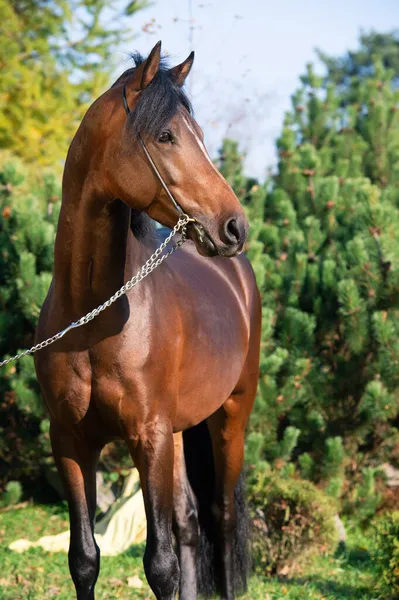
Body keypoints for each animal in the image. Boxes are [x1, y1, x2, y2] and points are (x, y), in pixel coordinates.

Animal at [35, 42, 262, 600]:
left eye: (197, 133)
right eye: (166, 136)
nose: (235, 226)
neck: (93, 321)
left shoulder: (148, 437)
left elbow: (159, 564)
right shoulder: (70, 441)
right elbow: (84, 559)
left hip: (231, 415)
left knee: (222, 520)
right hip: (178, 433)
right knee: (189, 521)